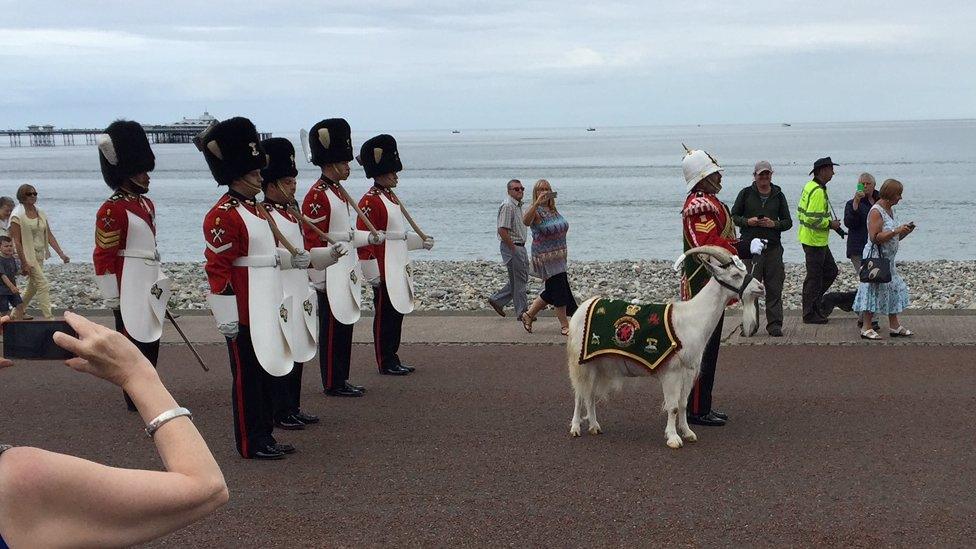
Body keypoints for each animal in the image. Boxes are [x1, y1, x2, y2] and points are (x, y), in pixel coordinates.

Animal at [568, 246, 768, 448]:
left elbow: (683, 404)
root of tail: (581, 308)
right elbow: (672, 407)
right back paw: (575, 428)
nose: (761, 288)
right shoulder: (672, 372)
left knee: (590, 395)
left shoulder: (688, 372)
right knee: (579, 395)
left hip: (597, 365)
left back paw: (594, 426)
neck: (692, 318)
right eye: (735, 274)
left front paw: (688, 433)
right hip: (581, 363)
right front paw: (673, 438)